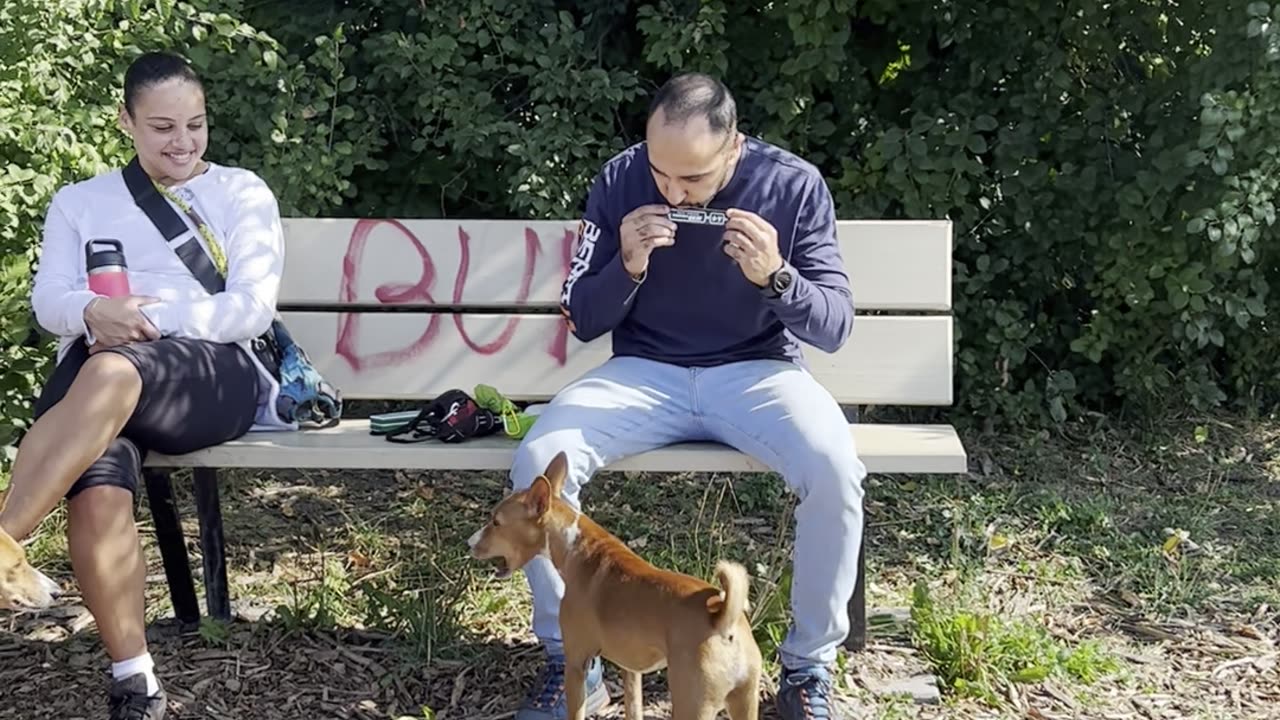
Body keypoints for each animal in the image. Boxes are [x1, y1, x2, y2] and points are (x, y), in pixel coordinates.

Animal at [468, 450, 757, 717]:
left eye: (496, 522)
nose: (469, 542)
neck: (579, 547)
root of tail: (722, 619)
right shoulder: (631, 669)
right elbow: (633, 708)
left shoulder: (576, 663)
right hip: (745, 700)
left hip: (693, 704)